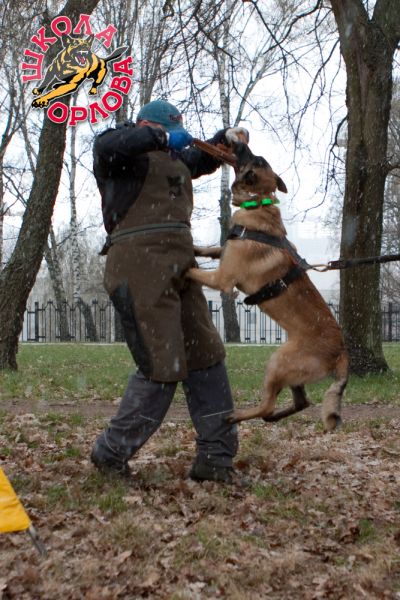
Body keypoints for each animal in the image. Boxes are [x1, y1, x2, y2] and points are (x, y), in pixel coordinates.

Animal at [188, 143, 348, 431]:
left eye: (253, 158)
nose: (239, 142)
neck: (258, 202)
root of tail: (341, 353)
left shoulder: (222, 279)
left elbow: (194, 271)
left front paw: (180, 268)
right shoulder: (224, 255)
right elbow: (212, 249)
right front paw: (195, 248)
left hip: (277, 362)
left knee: (268, 404)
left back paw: (236, 416)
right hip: (290, 371)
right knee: (299, 403)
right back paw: (271, 417)